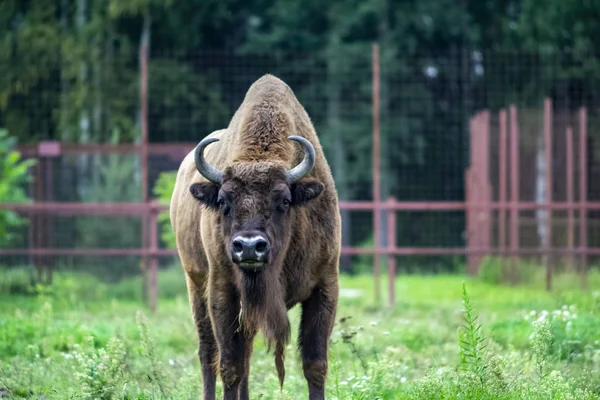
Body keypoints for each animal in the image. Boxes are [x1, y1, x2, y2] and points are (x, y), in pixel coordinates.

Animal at [171, 73, 340, 398]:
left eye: (284, 200)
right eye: (223, 201)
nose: (249, 247)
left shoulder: (325, 286)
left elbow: (315, 364)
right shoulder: (222, 292)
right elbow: (229, 366)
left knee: (245, 355)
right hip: (195, 283)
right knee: (208, 354)